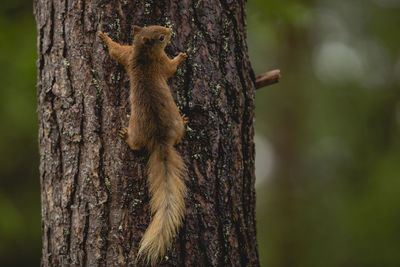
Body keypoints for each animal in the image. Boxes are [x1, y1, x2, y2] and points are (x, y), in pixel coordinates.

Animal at [98, 24, 189, 266]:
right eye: (161, 37)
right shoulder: (160, 62)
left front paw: (103, 37)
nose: (170, 30)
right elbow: (171, 68)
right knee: (143, 144)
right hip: (145, 129)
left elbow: (116, 51)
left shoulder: (128, 55)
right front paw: (181, 57)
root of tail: (160, 140)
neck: (142, 55)